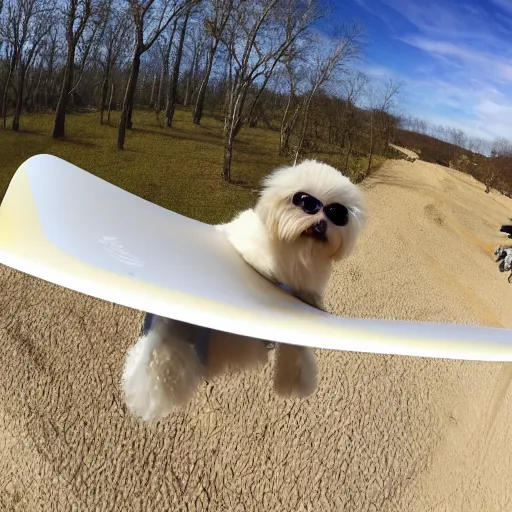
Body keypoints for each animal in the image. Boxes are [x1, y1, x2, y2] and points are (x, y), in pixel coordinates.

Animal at [122, 159, 366, 420]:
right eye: (305, 202)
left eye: (338, 214)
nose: (321, 223)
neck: (296, 255)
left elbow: (298, 347)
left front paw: (297, 378)